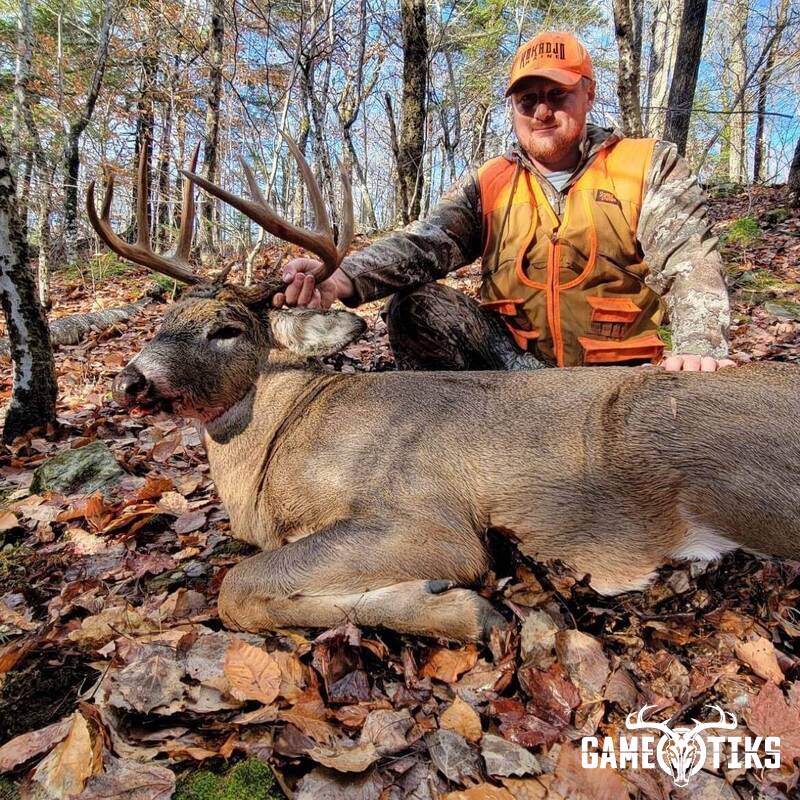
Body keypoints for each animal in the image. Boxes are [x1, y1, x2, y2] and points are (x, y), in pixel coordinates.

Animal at [86, 136, 800, 642]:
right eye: (163, 322)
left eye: (227, 329)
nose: (129, 381)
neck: (282, 441)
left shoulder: (429, 519)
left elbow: (238, 586)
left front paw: (460, 609)